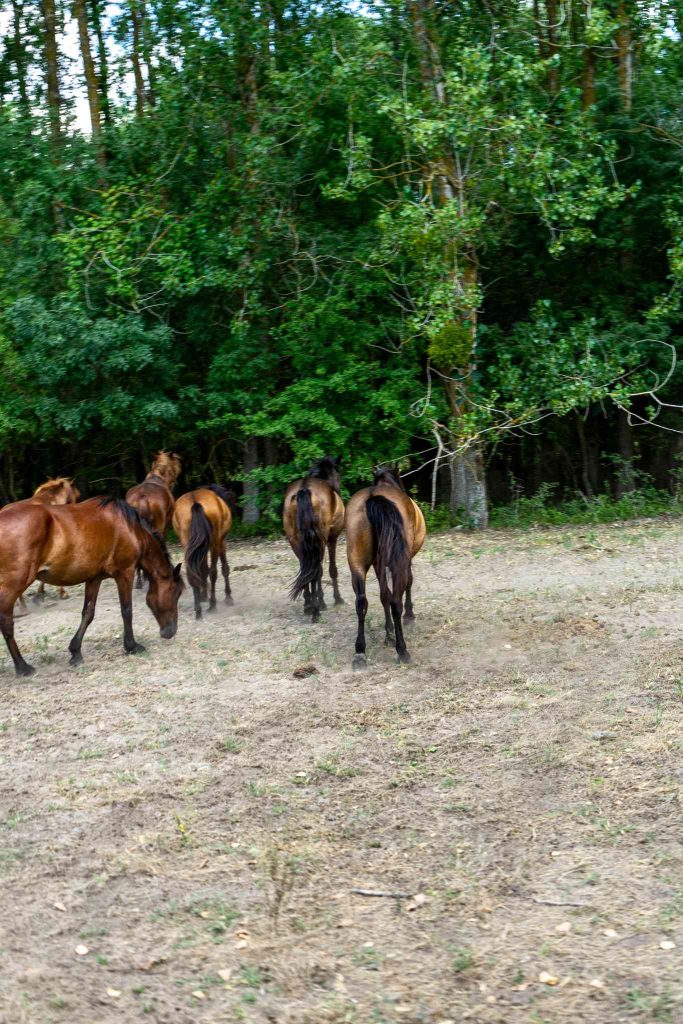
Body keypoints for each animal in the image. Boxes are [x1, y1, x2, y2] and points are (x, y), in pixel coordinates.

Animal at [0, 497, 183, 679]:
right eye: (176, 593)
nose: (171, 631)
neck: (132, 529)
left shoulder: (94, 579)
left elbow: (88, 614)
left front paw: (75, 652)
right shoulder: (125, 573)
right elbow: (127, 611)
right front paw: (131, 646)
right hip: (14, 585)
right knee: (6, 623)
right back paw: (22, 666)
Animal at [172, 485, 233, 618]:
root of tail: (195, 502)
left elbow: (203, 570)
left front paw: (203, 596)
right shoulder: (221, 542)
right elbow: (224, 568)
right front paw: (228, 597)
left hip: (187, 544)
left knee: (192, 572)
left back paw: (198, 609)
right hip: (215, 543)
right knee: (213, 572)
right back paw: (212, 605)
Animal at [284, 458, 348, 618]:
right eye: (338, 475)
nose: (338, 490)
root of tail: (304, 489)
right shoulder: (332, 538)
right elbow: (331, 570)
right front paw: (335, 599)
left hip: (295, 540)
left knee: (305, 568)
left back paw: (308, 604)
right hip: (320, 539)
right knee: (316, 570)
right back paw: (315, 609)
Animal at [344, 468, 423, 667]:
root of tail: (373, 496)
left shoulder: (378, 564)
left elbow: (383, 595)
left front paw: (388, 633)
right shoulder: (406, 560)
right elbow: (407, 584)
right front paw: (409, 616)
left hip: (357, 563)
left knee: (361, 602)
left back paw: (360, 652)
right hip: (399, 564)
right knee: (396, 601)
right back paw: (402, 650)